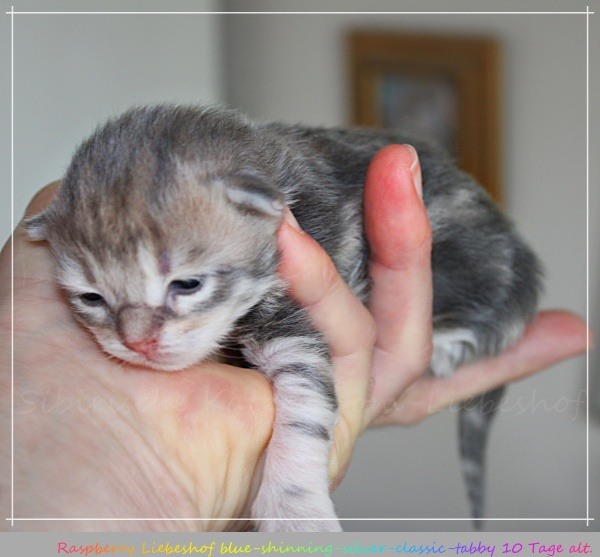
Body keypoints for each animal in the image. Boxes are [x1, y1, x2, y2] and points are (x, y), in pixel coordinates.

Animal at [25, 104, 542, 532]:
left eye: (187, 285)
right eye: (92, 297)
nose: (138, 344)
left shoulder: (294, 323)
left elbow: (304, 413)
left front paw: (296, 511)